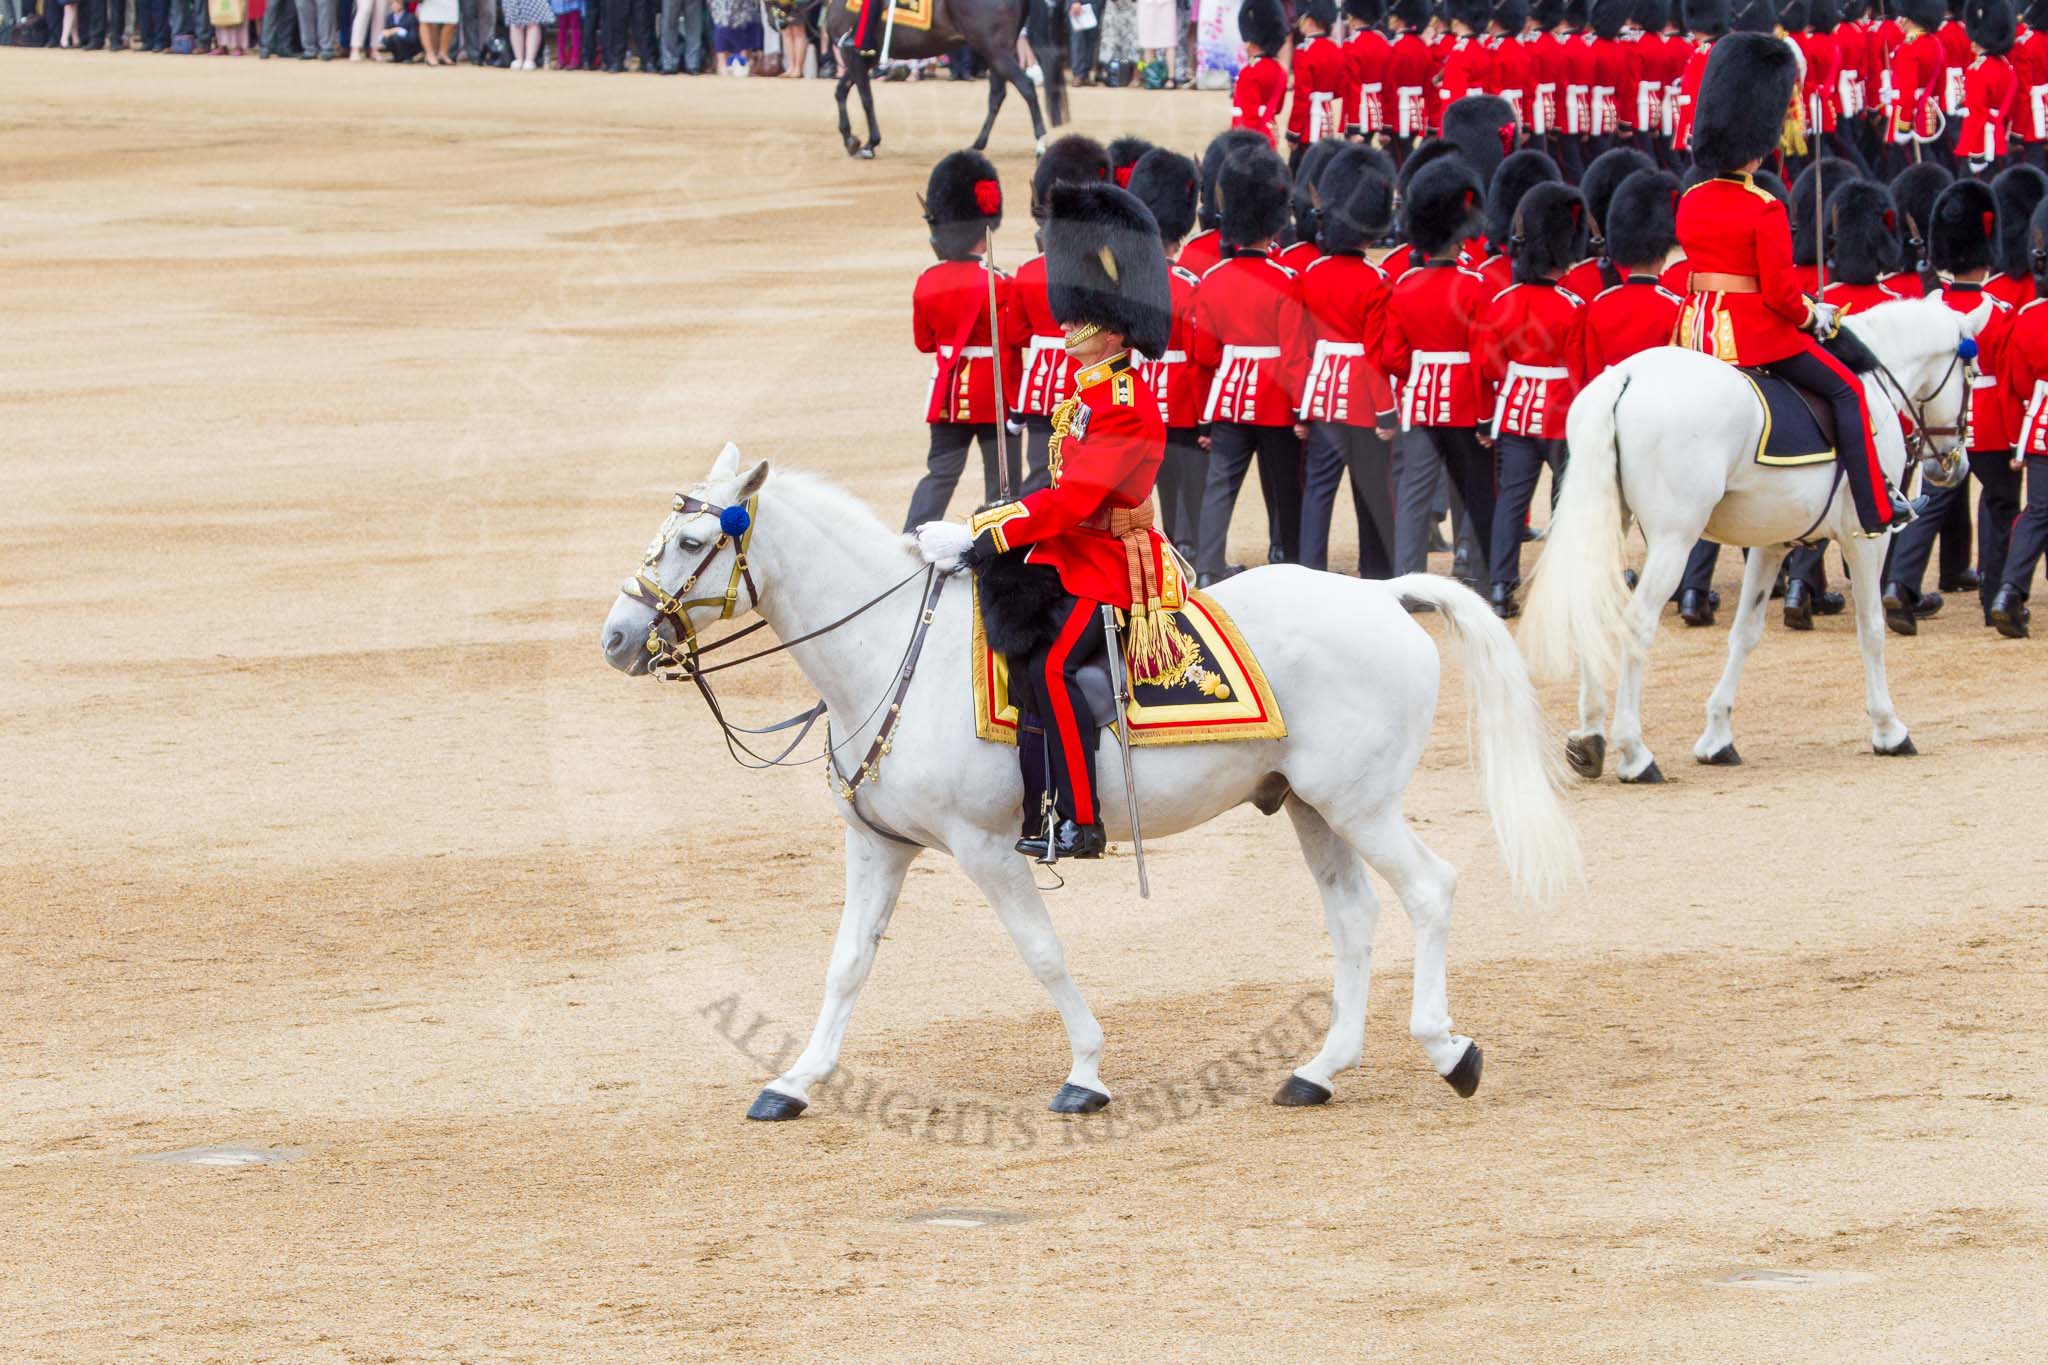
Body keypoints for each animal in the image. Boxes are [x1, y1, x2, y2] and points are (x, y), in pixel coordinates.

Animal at [600, 445, 1581, 1121]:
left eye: (692, 539)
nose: (614, 637)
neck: (889, 653)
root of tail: (1380, 595)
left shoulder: (988, 848)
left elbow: (1042, 952)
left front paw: (1086, 1071)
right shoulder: (878, 845)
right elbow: (846, 963)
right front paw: (796, 1080)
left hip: (1361, 804)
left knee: (1430, 889)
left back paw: (1448, 1050)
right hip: (1311, 805)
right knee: (1354, 918)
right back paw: (1317, 1070)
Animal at [815, 0, 1069, 159]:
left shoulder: (853, 54)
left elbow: (865, 98)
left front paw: (869, 144)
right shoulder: (864, 57)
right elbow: (841, 91)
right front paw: (851, 140)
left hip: (995, 50)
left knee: (1026, 87)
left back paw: (1041, 144)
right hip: (995, 52)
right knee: (998, 95)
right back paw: (977, 145)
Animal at [1518, 297, 1986, 784]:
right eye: (1972, 375)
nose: (1952, 467)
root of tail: (1623, 378)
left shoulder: (1771, 543)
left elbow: (1745, 633)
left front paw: (1717, 737)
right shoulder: (1864, 539)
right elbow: (1871, 630)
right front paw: (1889, 729)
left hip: (1609, 523)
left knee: (1589, 609)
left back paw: (1589, 739)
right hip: (1673, 541)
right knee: (1635, 624)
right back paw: (1634, 753)